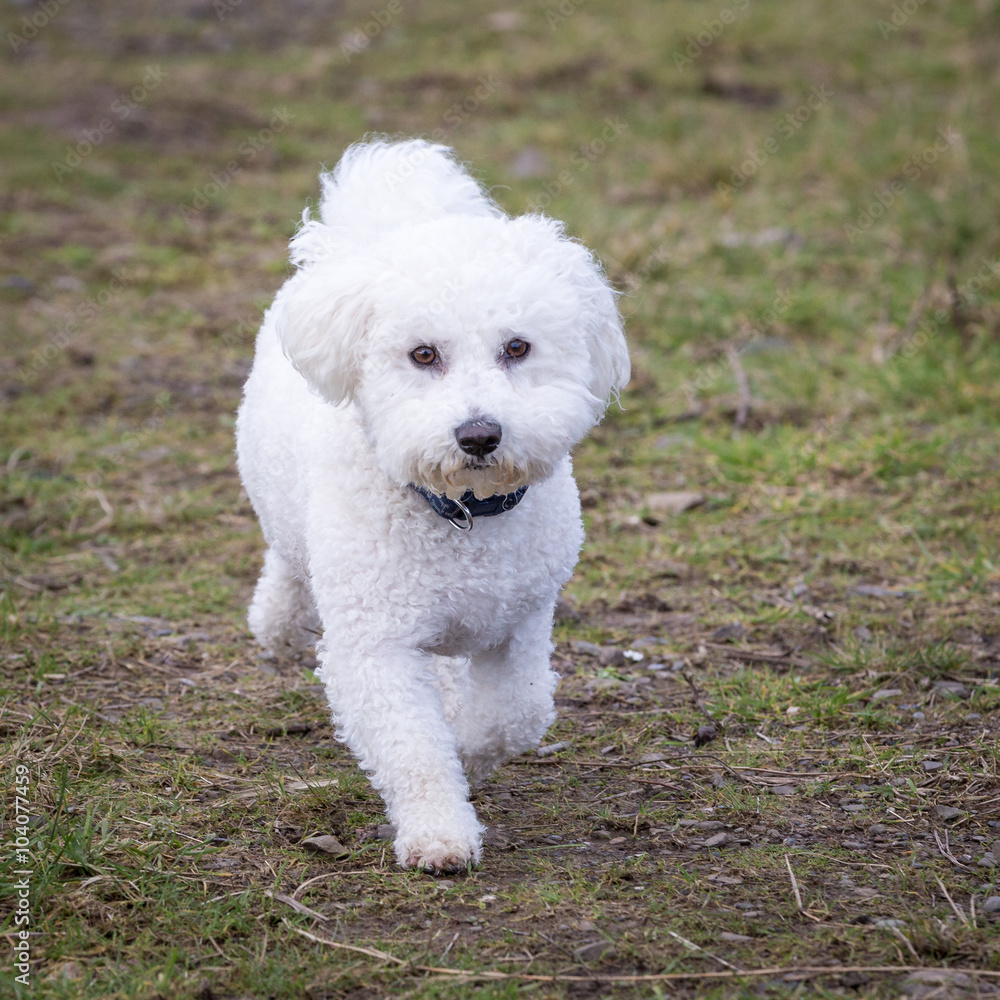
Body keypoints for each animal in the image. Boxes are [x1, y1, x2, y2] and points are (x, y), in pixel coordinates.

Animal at [236, 137, 624, 872]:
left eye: (517, 347)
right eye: (423, 354)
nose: (479, 434)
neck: (463, 512)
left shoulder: (519, 625)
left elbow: (512, 718)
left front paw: (468, 753)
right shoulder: (374, 648)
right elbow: (414, 747)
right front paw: (440, 834)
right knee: (286, 558)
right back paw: (278, 619)